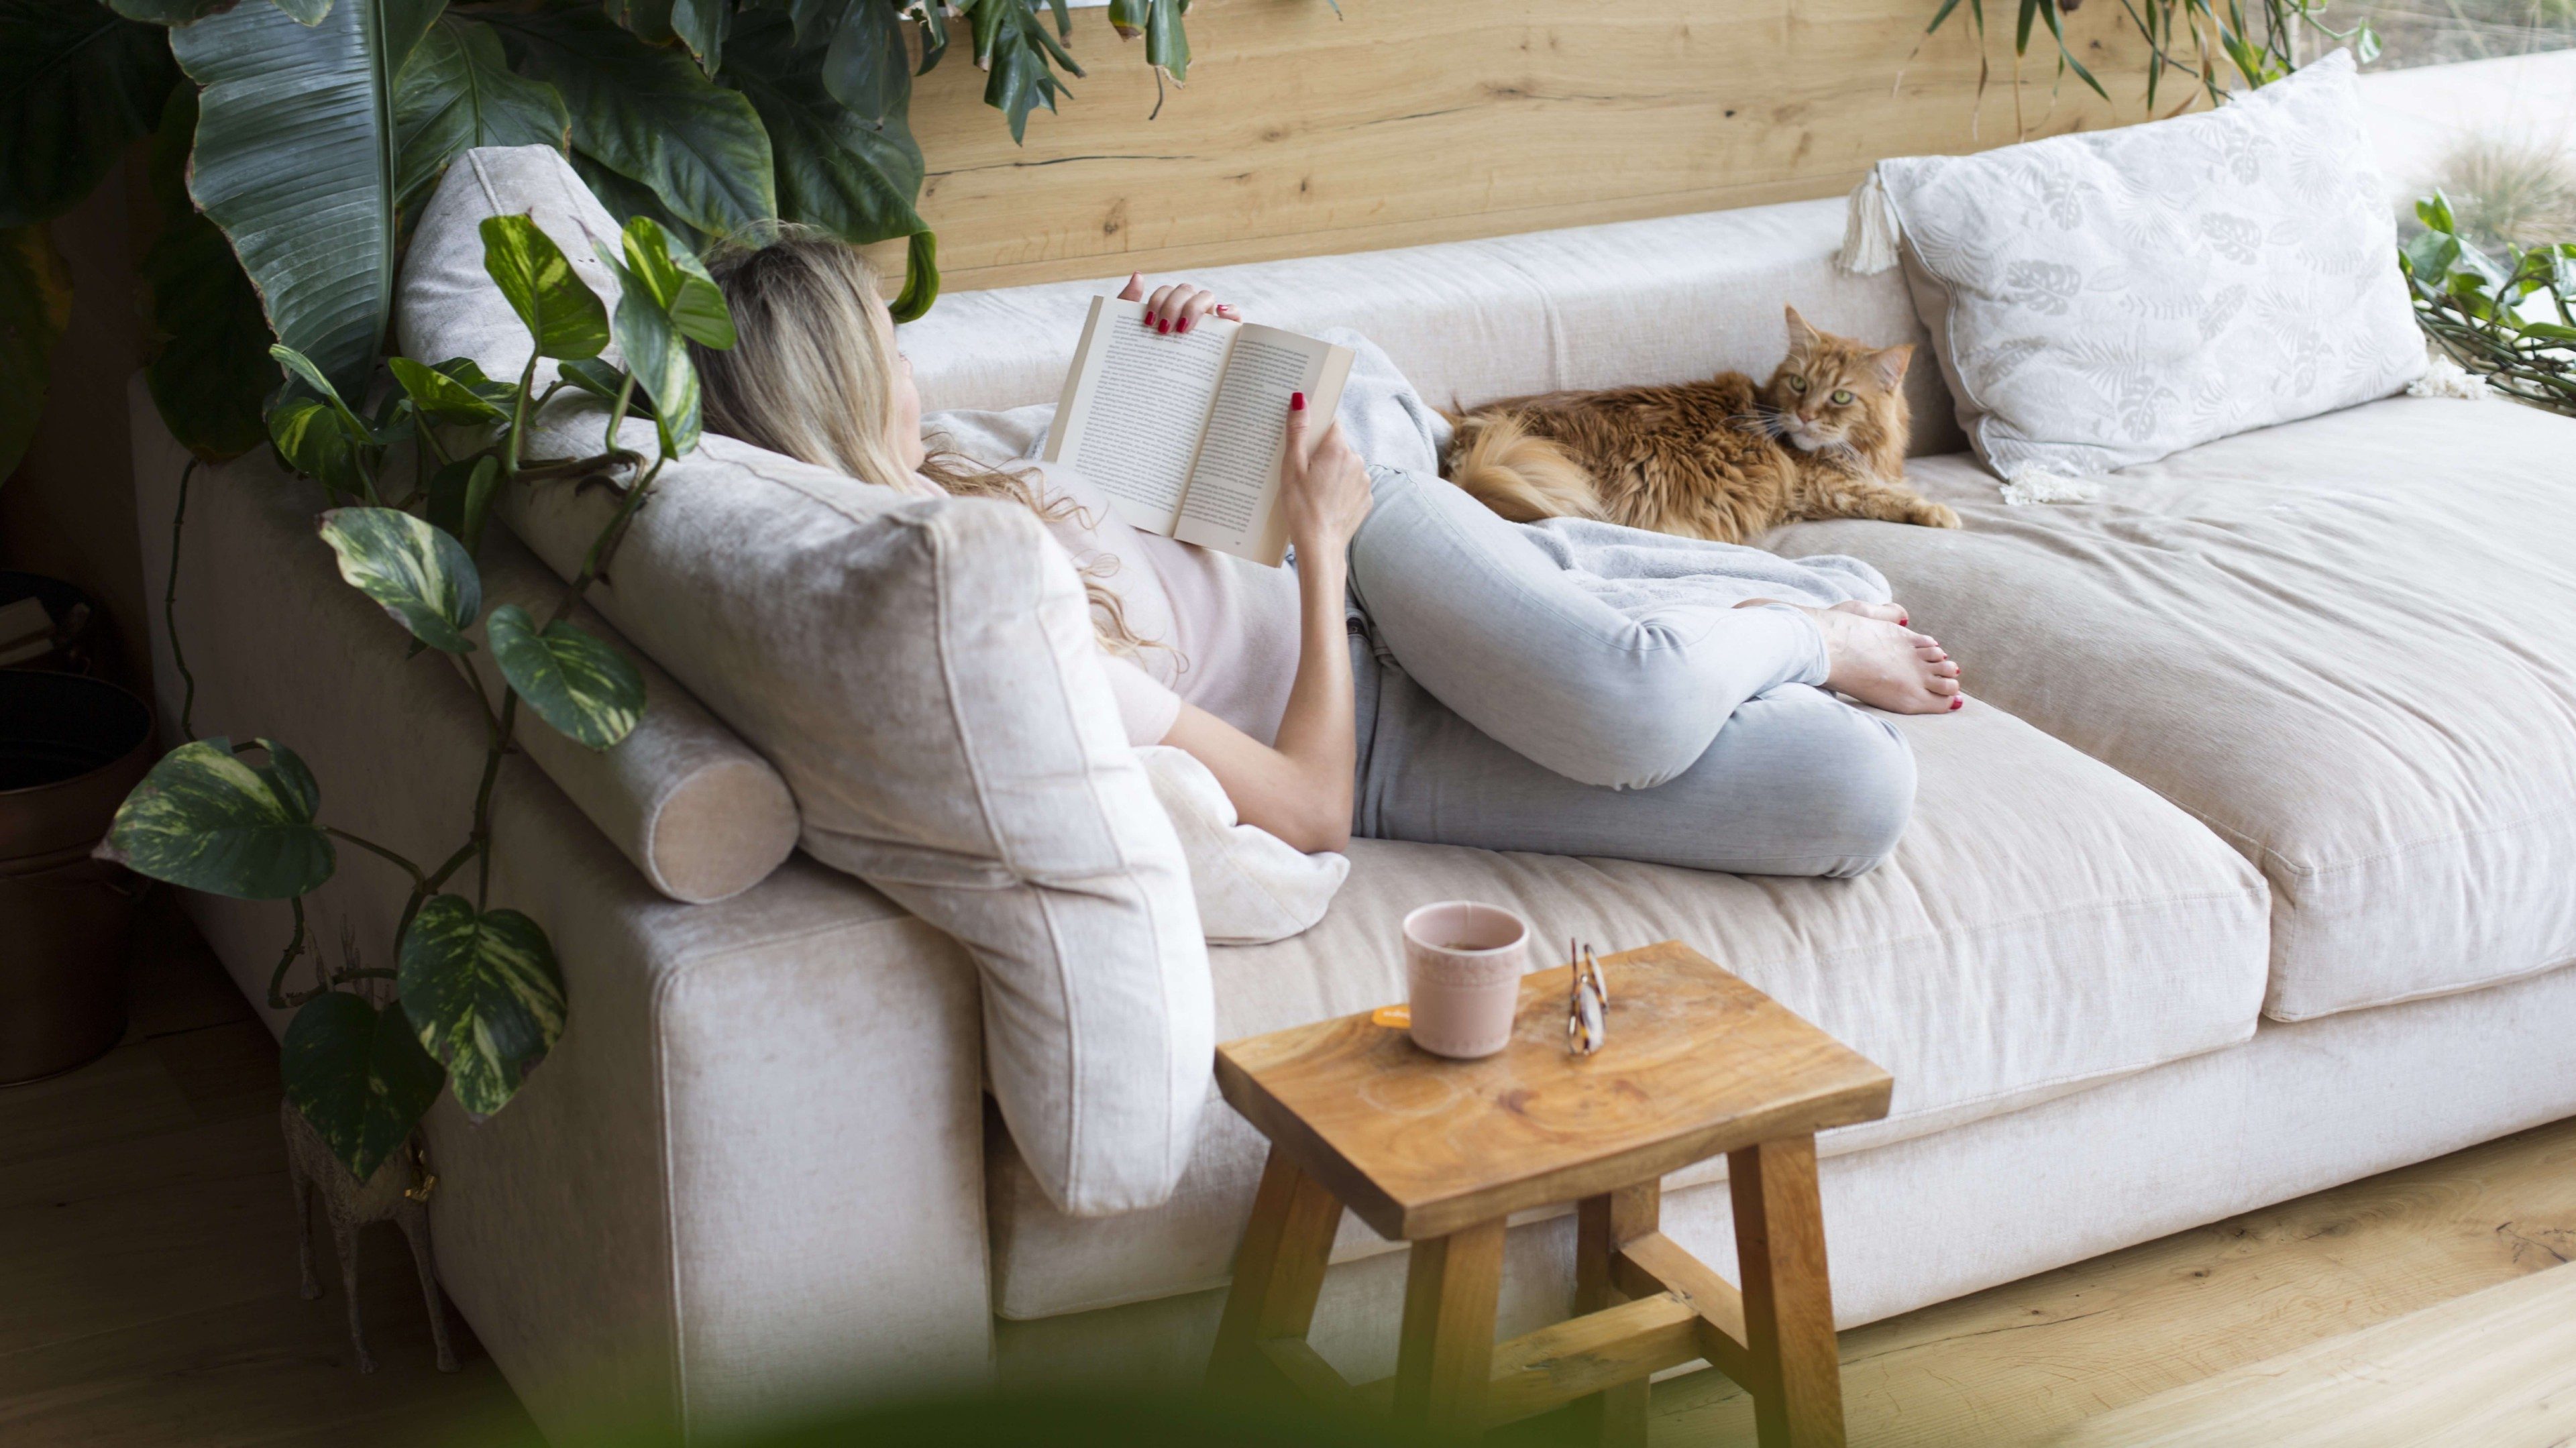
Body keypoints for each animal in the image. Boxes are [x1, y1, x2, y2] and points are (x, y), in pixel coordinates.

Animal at [1442, 305, 1957, 546]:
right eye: (1799, 383)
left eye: (1841, 397)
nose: (1806, 415)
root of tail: (1471, 431)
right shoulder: (1821, 488)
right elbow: (1886, 497)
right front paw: (1939, 511)